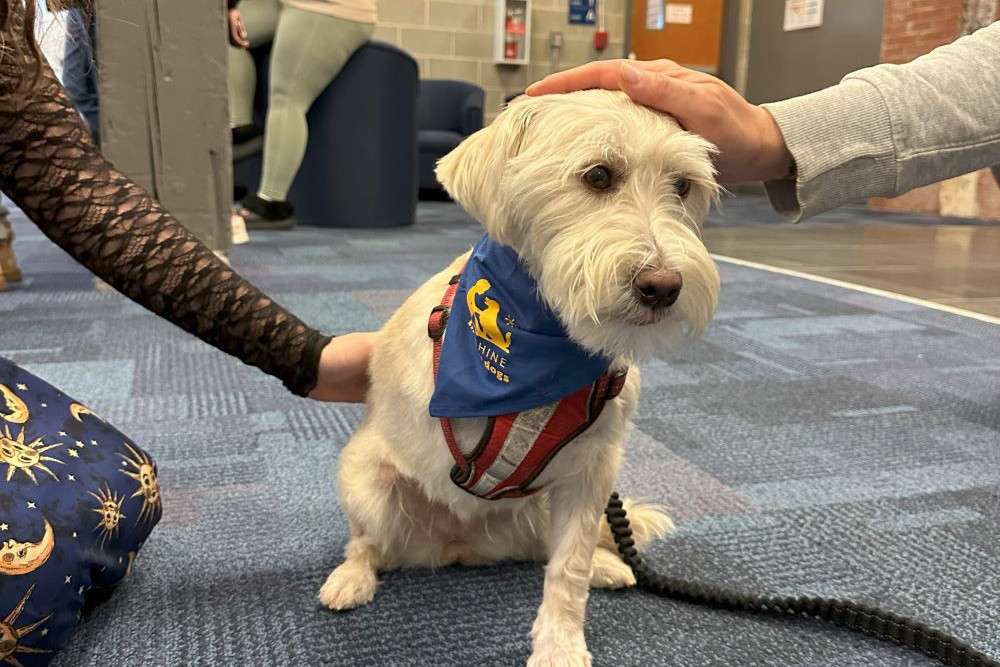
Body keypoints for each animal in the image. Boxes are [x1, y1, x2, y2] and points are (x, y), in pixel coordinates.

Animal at [320, 90, 720, 667]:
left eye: (683, 186)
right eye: (598, 175)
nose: (664, 287)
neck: (549, 333)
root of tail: (460, 547)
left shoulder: (591, 472)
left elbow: (568, 564)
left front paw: (560, 643)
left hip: (540, 506)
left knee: (548, 550)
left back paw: (604, 564)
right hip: (365, 481)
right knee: (368, 543)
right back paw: (351, 578)